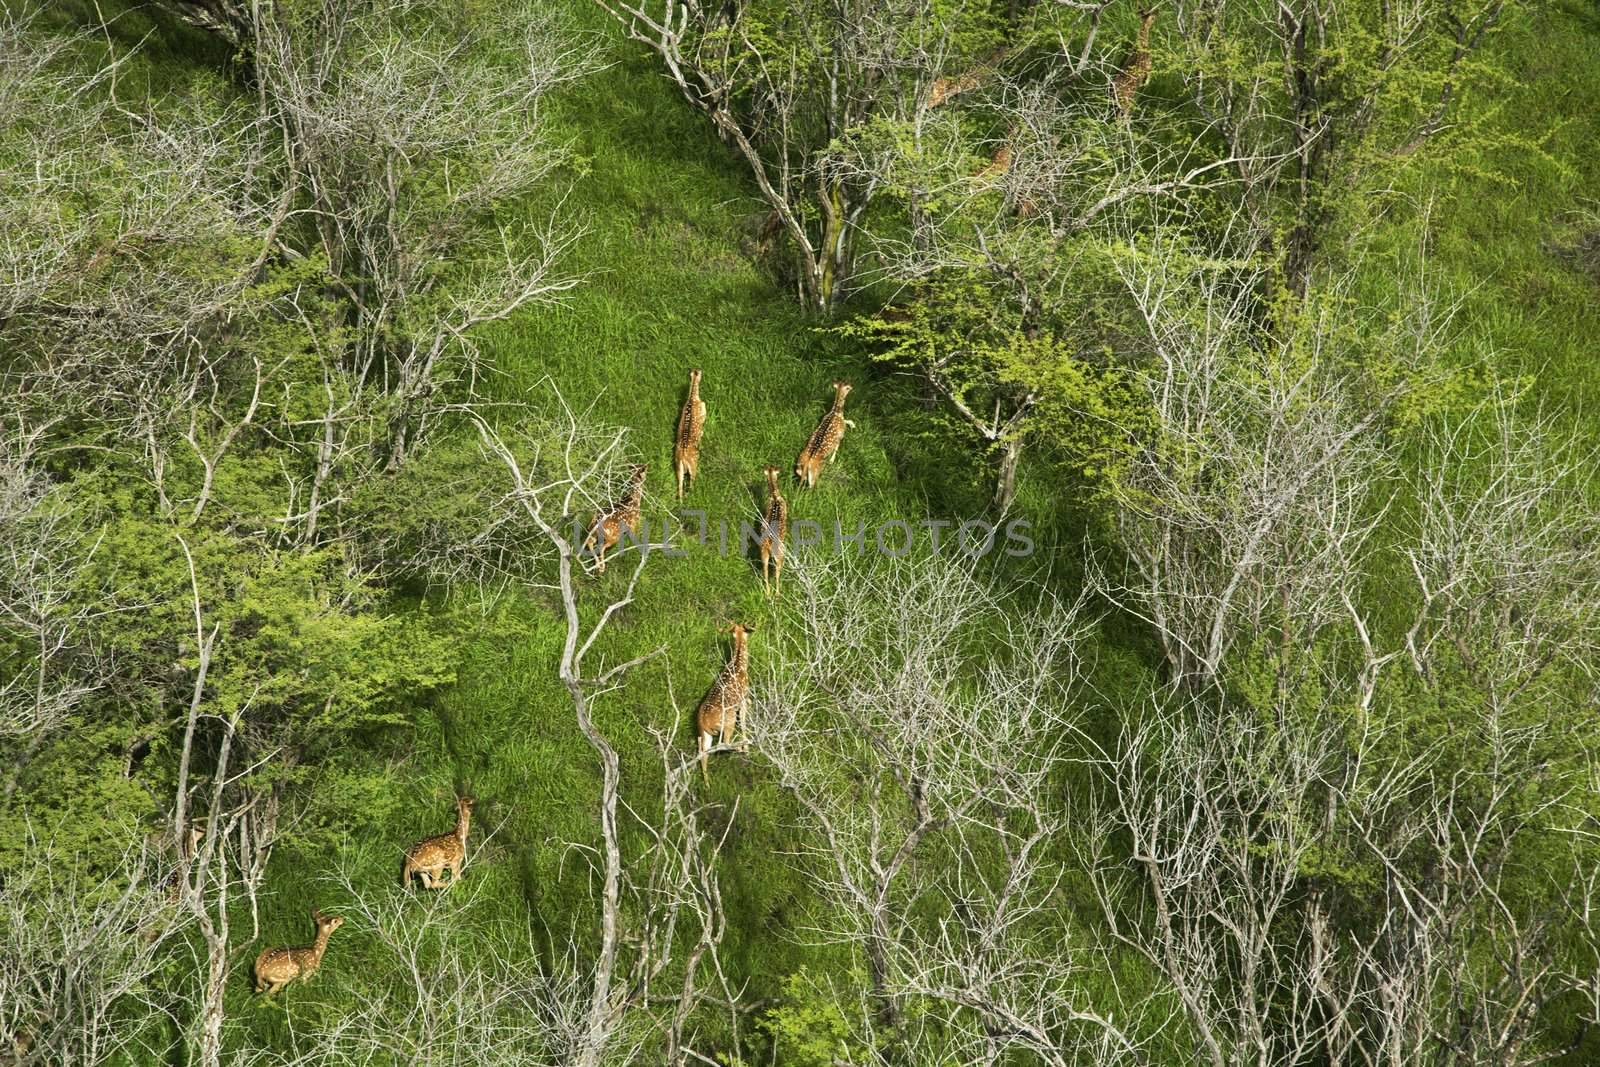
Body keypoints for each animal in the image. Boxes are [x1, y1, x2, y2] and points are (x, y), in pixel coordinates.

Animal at [697, 620, 752, 780]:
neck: (739, 664)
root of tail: (703, 722)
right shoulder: (742, 699)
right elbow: (744, 722)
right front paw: (747, 749)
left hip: (705, 734)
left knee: (703, 754)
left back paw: (707, 783)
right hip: (728, 720)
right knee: (725, 743)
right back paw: (741, 747)